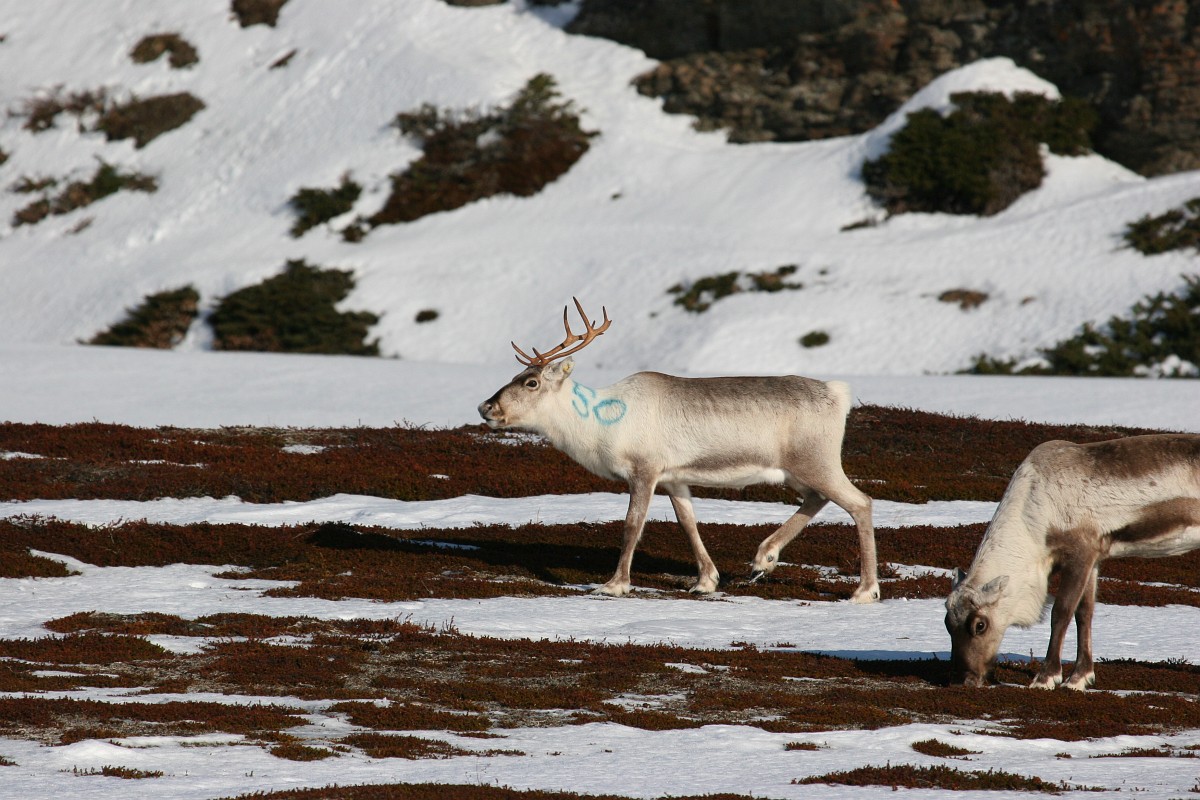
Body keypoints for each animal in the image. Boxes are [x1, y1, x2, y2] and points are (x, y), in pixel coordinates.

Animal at [477, 298, 878, 600]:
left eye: (531, 382)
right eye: (515, 377)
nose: (486, 407)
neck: (598, 424)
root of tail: (838, 394)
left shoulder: (644, 470)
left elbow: (632, 525)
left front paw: (613, 585)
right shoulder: (674, 478)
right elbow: (688, 523)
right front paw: (706, 581)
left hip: (816, 461)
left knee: (860, 502)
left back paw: (864, 590)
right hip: (795, 472)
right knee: (817, 498)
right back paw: (763, 559)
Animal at [945, 433, 1200, 690]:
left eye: (980, 624)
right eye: (947, 623)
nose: (964, 680)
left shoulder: (1079, 554)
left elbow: (1061, 612)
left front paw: (1046, 677)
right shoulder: (1094, 559)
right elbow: (1084, 613)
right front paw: (1080, 678)